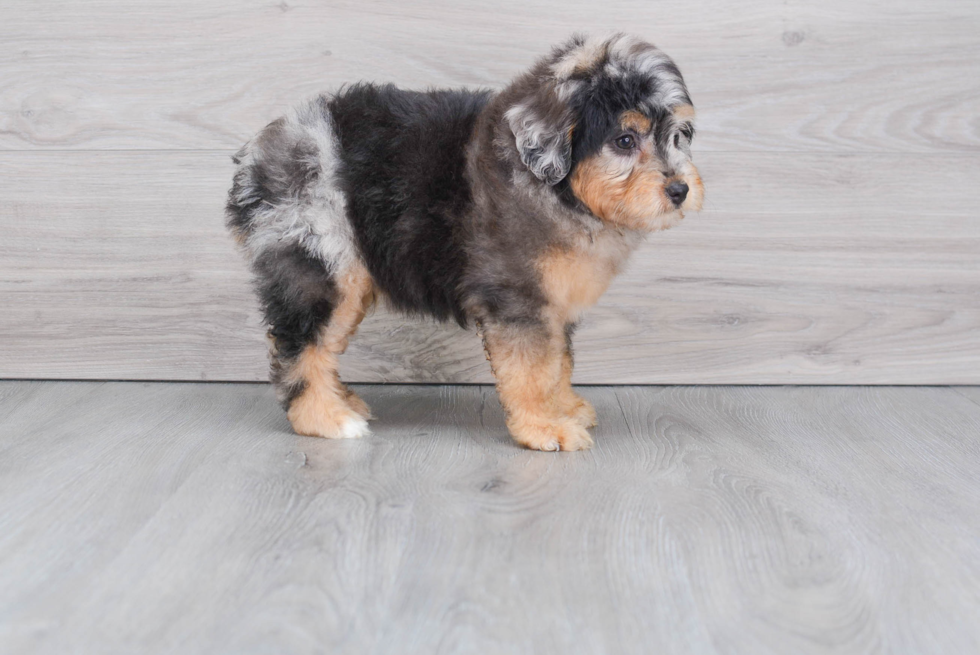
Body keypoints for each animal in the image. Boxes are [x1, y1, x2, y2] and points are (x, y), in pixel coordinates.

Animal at [228, 33, 704, 454]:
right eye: (625, 141)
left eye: (679, 135)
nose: (680, 190)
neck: (557, 192)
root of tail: (255, 162)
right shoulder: (518, 298)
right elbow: (533, 369)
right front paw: (545, 427)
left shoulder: (554, 301)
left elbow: (559, 362)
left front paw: (565, 408)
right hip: (320, 261)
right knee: (299, 344)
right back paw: (325, 418)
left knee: (321, 347)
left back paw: (342, 401)